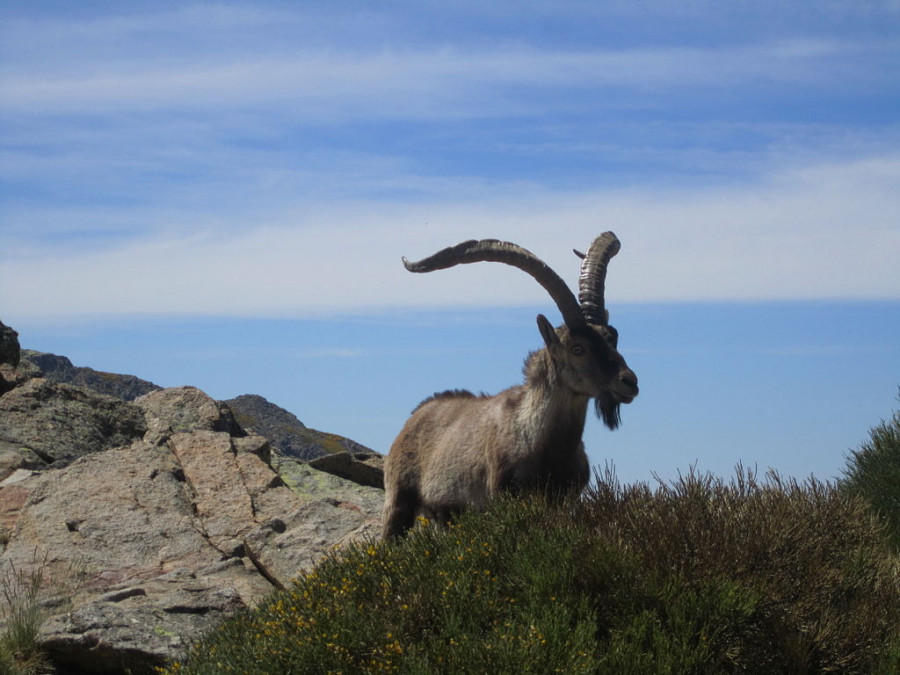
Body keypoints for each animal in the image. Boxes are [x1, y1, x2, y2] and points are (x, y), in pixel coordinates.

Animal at [382, 232, 640, 540]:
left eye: (612, 337)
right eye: (577, 348)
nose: (629, 382)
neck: (543, 441)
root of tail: (414, 417)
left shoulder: (565, 502)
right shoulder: (503, 498)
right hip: (398, 499)